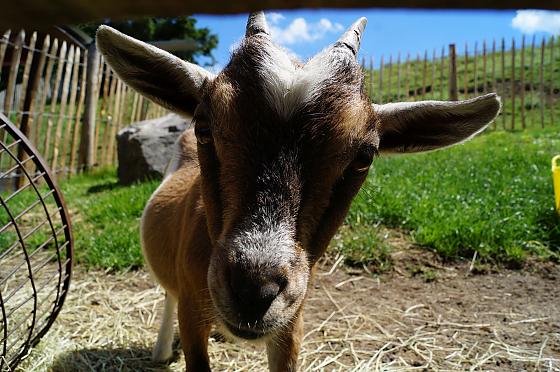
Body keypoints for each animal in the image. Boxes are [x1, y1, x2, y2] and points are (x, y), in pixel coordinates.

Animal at [96, 11, 504, 372]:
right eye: (204, 126)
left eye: (364, 156)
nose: (253, 291)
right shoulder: (193, 308)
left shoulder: (291, 320)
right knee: (168, 296)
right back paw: (162, 350)